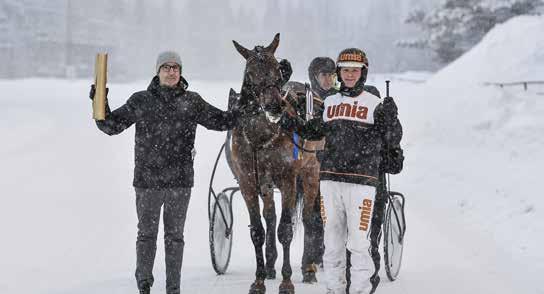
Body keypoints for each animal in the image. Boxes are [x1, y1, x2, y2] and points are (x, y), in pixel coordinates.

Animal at [227, 33, 320, 292]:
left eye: (278, 70)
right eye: (250, 73)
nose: (274, 106)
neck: (260, 136)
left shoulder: (288, 179)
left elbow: (286, 229)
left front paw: (287, 282)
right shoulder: (248, 182)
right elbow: (258, 230)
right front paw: (258, 280)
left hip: (311, 172)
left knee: (309, 218)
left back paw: (308, 268)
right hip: (266, 185)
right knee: (270, 216)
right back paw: (270, 267)